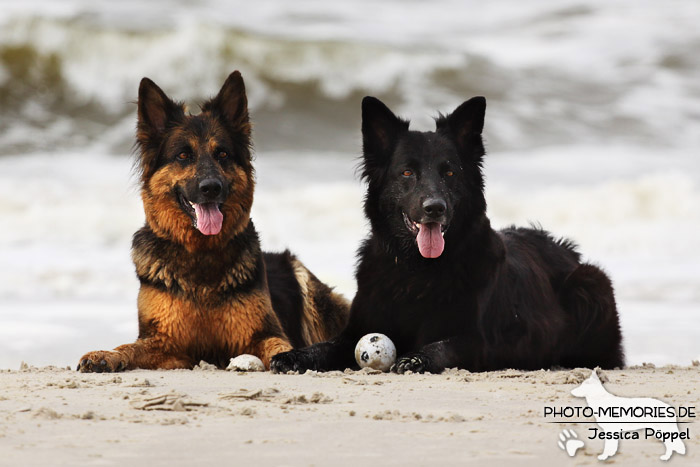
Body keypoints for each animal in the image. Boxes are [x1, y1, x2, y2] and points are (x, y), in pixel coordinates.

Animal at [78, 72, 348, 372]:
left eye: (223, 154)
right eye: (183, 155)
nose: (211, 188)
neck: (201, 252)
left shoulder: (264, 334)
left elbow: (280, 345)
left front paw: (292, 357)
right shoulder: (167, 344)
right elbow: (127, 347)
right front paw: (105, 354)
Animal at [272, 97, 624, 374]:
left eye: (450, 172)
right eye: (407, 172)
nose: (435, 208)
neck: (415, 271)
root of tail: (564, 249)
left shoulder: (482, 341)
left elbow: (444, 346)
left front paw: (416, 359)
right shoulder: (355, 331)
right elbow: (325, 346)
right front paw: (293, 356)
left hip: (591, 282)